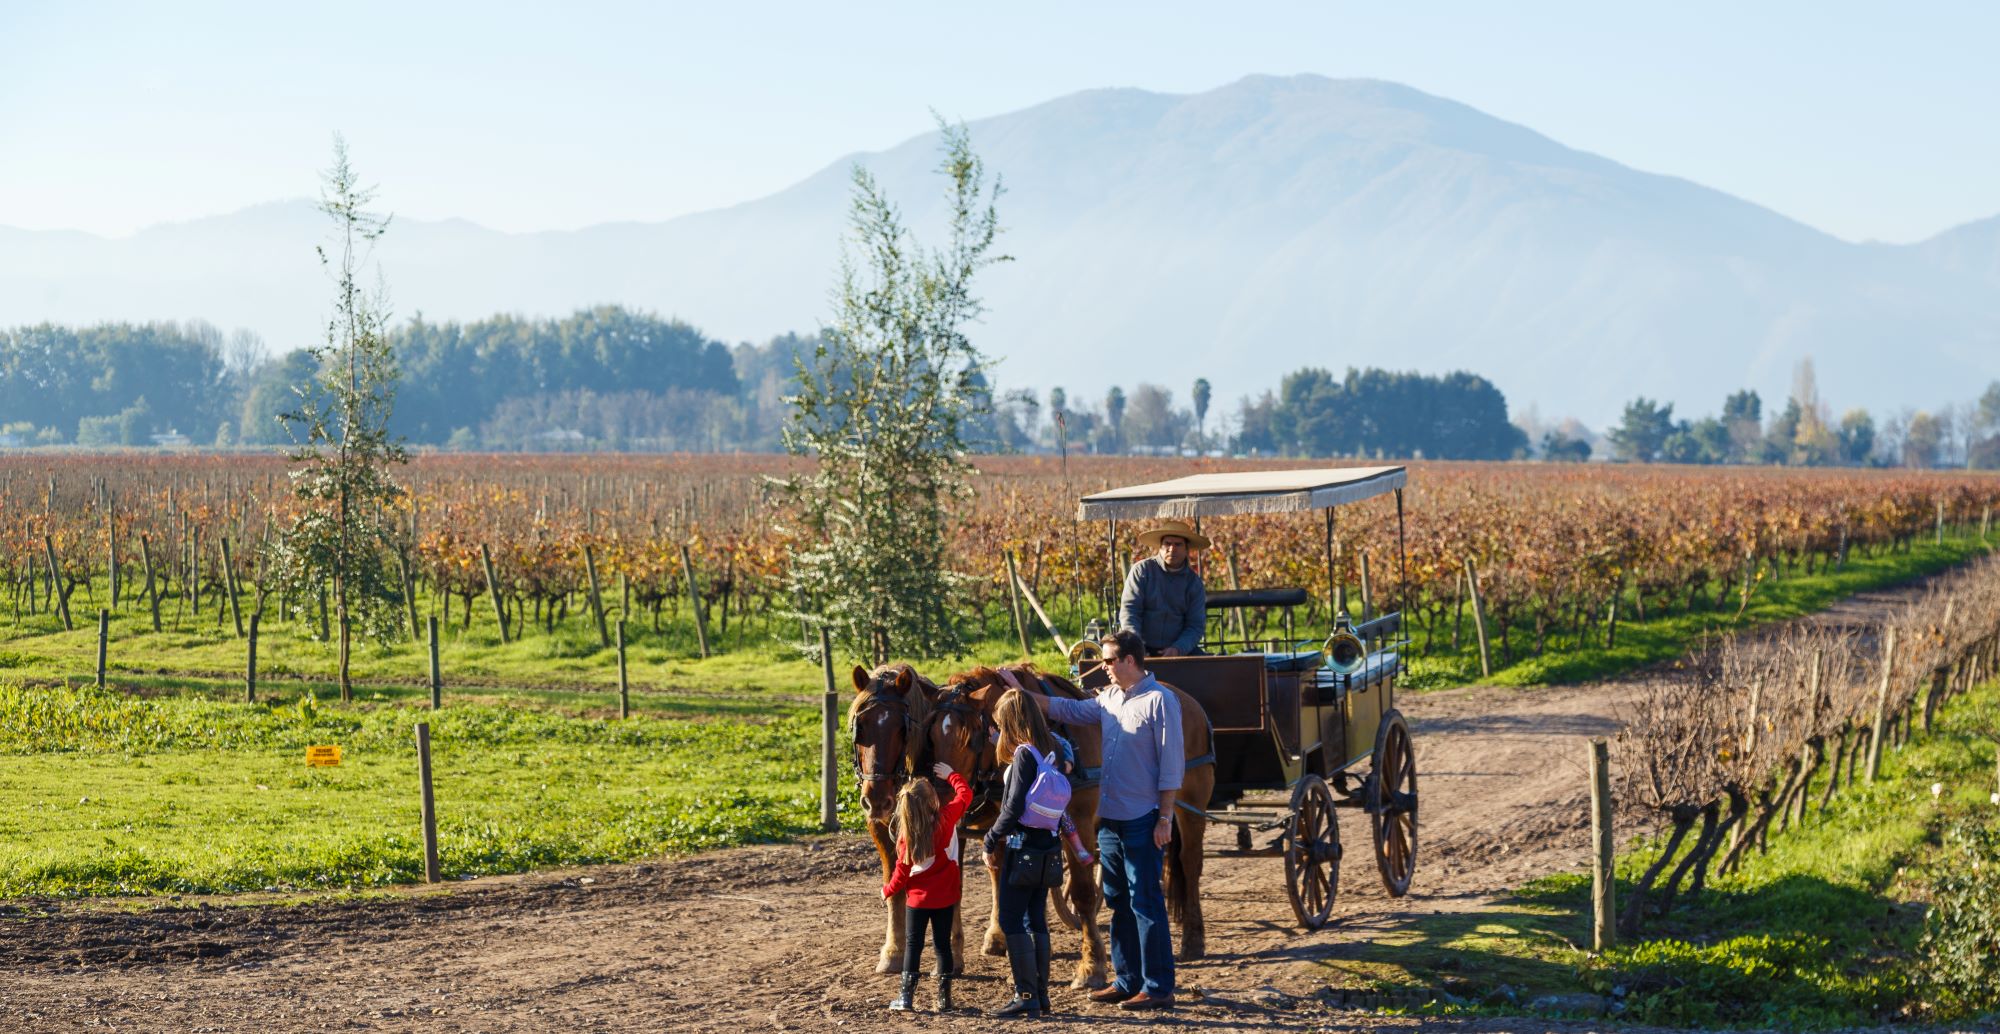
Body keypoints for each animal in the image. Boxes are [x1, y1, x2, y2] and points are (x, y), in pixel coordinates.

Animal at [844, 664, 936, 972]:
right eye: (860, 727)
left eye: (901, 729)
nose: (876, 800)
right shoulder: (879, 827)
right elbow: (894, 883)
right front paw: (894, 950)